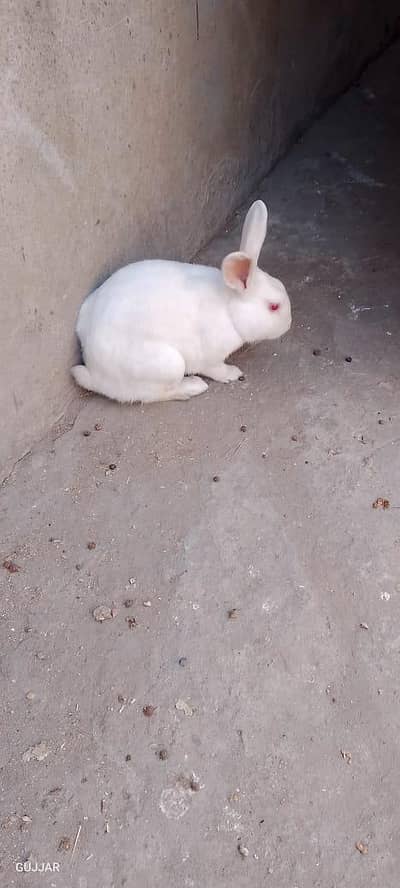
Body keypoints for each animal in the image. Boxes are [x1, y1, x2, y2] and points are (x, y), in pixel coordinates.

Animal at [71, 199, 291, 403]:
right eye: (273, 306)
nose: (288, 324)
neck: (229, 309)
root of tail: (94, 370)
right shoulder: (210, 357)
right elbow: (216, 369)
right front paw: (233, 374)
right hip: (168, 365)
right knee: (151, 394)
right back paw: (193, 387)